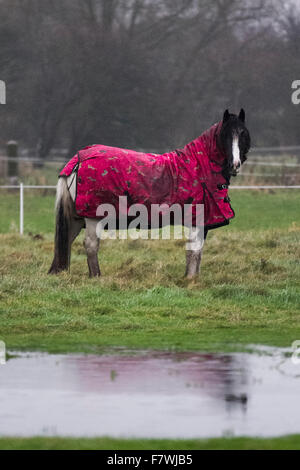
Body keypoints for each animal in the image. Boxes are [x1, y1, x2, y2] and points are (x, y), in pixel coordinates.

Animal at [49, 109, 251, 280]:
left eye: (243, 133)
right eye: (225, 135)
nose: (235, 164)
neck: (199, 166)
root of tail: (78, 159)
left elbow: (197, 252)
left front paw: (192, 278)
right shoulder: (197, 219)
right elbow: (193, 251)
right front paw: (190, 280)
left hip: (76, 217)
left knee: (67, 241)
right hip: (93, 217)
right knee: (90, 245)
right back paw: (96, 276)